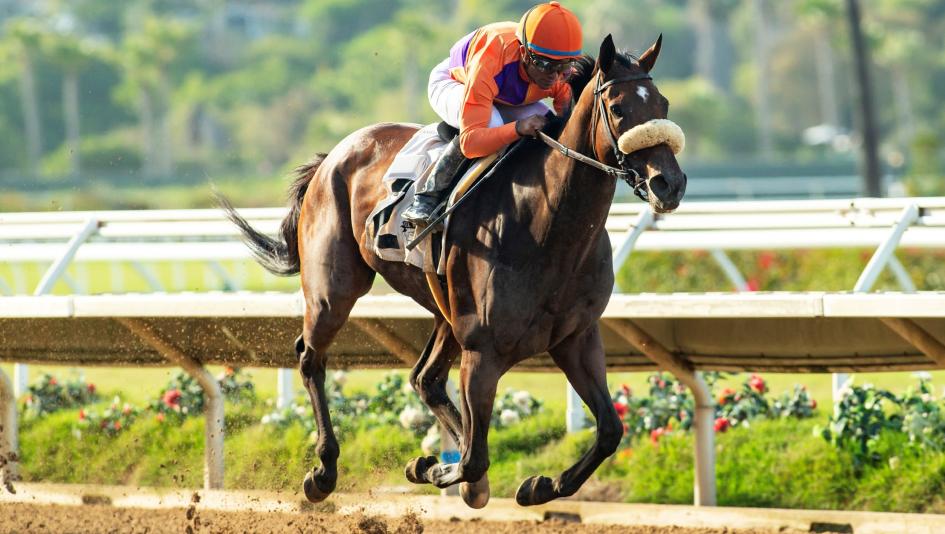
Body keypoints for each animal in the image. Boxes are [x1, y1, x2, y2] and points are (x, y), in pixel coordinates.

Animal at [220, 34, 687, 508]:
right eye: (618, 108)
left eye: (663, 104)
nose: (669, 183)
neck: (548, 227)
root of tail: (334, 155)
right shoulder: (483, 349)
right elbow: (474, 459)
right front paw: (432, 466)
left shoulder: (577, 337)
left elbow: (610, 430)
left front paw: (538, 486)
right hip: (334, 289)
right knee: (311, 357)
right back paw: (323, 471)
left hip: (444, 308)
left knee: (424, 378)